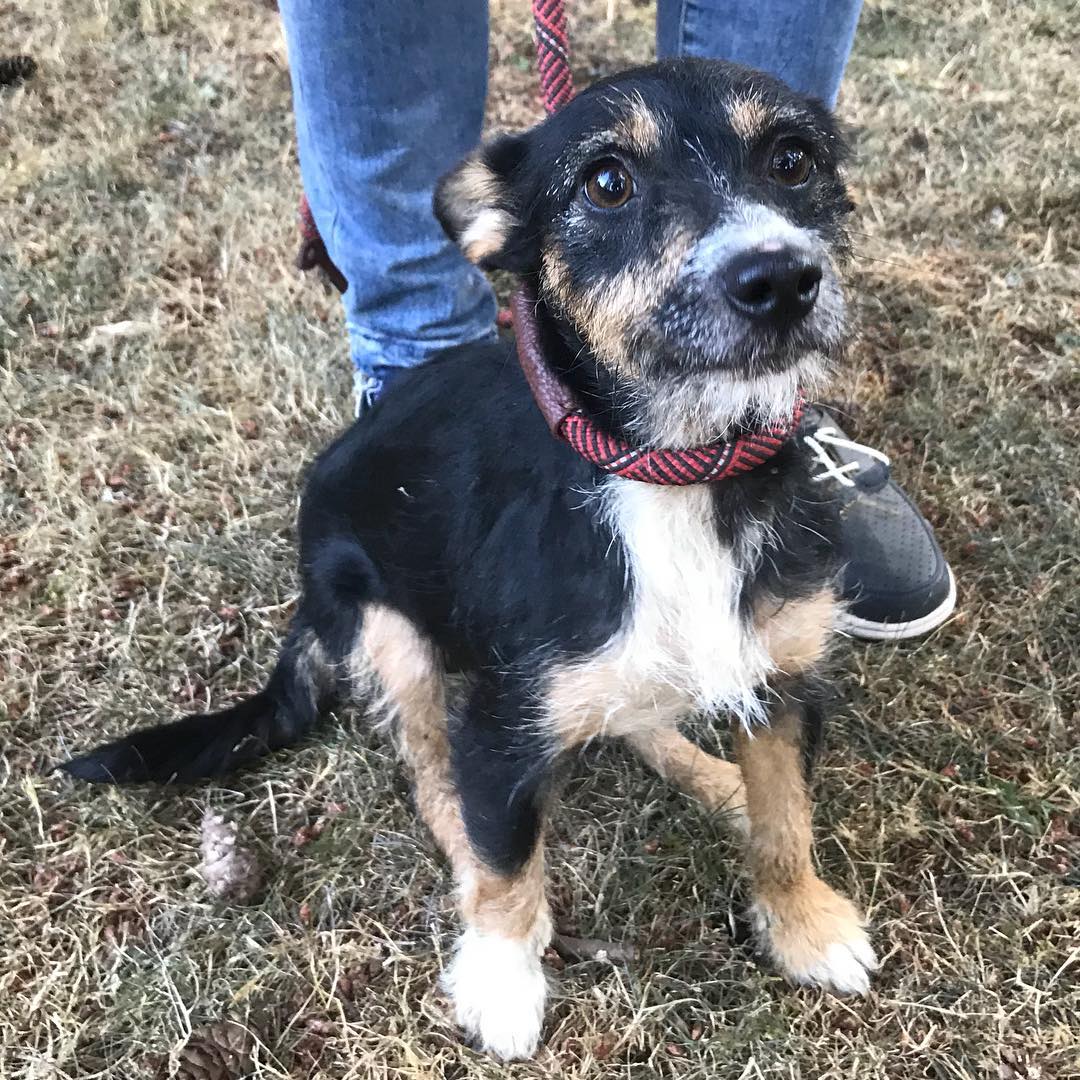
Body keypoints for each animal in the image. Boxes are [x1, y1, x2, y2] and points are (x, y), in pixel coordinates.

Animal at [63, 56, 876, 1054]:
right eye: (607, 182)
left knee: (633, 715)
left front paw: (804, 922)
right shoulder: (499, 721)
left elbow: (786, 817)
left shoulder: (787, 676)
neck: (676, 470)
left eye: (792, 159)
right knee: (432, 777)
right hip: (384, 625)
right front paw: (502, 977)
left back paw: (715, 779)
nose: (780, 278)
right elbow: (504, 862)